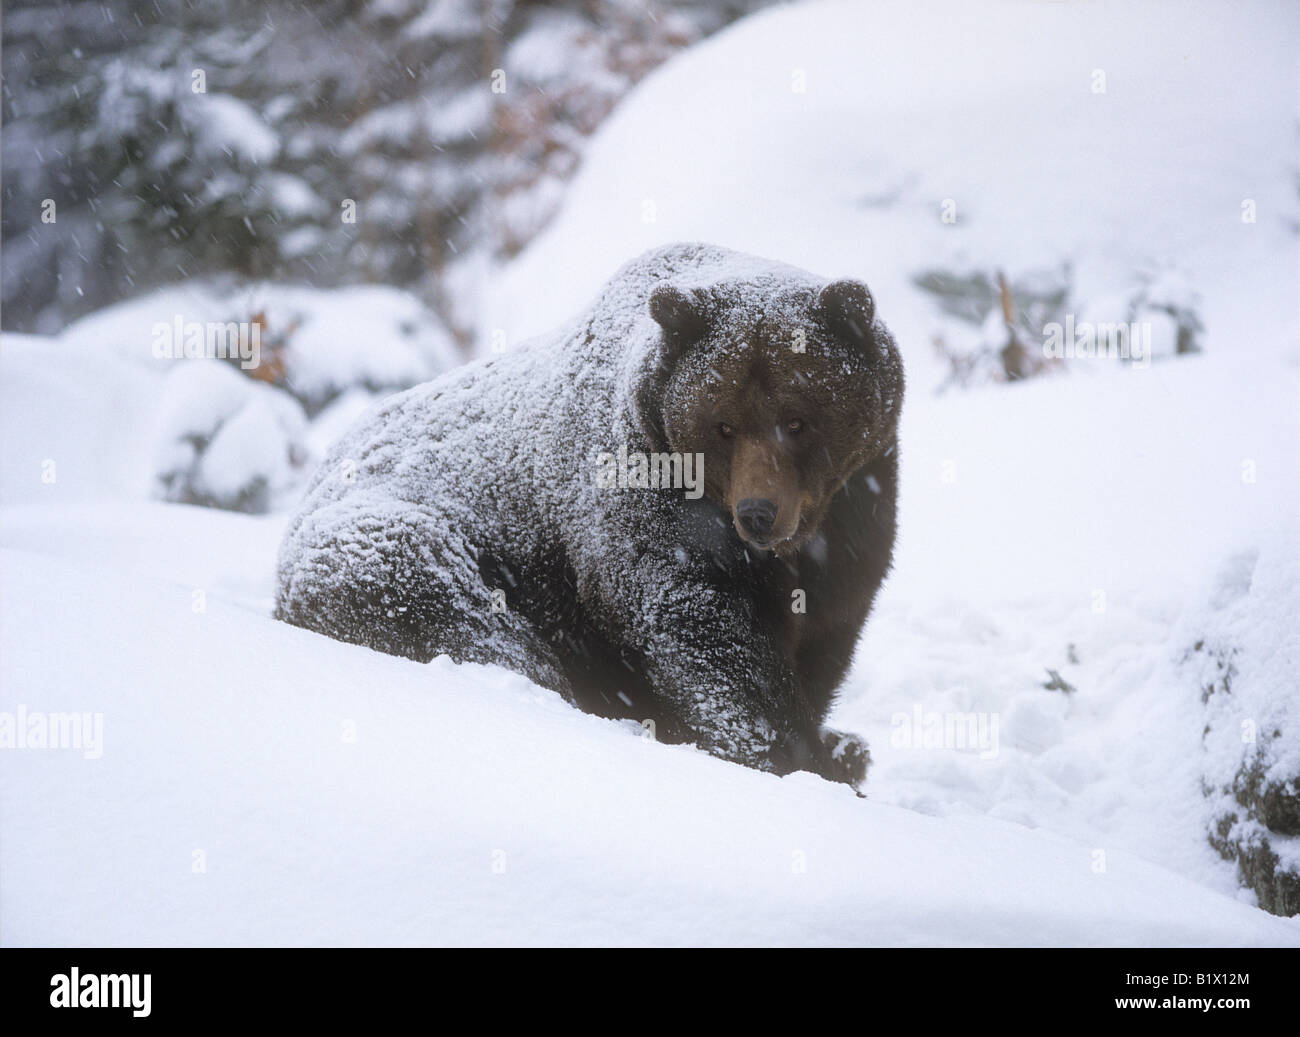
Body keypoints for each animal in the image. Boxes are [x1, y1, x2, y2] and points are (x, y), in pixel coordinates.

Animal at [274, 243, 903, 788]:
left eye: (798, 420)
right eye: (723, 424)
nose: (759, 513)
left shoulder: (857, 511)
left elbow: (825, 629)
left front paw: (827, 746)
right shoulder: (645, 494)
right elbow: (698, 621)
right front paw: (793, 754)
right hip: (390, 543)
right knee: (469, 619)